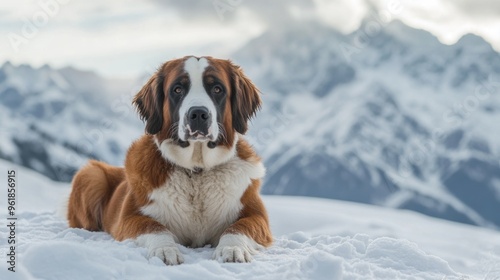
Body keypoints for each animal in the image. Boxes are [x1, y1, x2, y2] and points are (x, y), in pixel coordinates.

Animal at [67, 55, 274, 264]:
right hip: (91, 174)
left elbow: (238, 227)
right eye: (177, 89)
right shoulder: (128, 218)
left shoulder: (256, 215)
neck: (196, 171)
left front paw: (232, 249)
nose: (198, 114)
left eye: (217, 89)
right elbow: (156, 227)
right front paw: (165, 249)